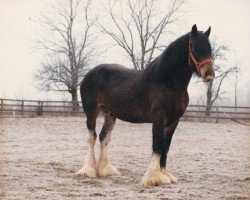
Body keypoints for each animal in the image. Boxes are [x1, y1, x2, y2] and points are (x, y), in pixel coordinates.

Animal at [77, 24, 214, 186]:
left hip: (110, 114)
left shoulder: (173, 121)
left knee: (104, 137)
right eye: (193, 47)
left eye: (209, 48)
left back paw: (105, 170)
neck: (168, 82)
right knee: (91, 138)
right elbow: (158, 145)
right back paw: (89, 170)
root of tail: (89, 75)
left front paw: (165, 174)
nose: (209, 74)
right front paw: (154, 177)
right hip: (91, 112)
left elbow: (166, 147)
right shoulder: (158, 119)